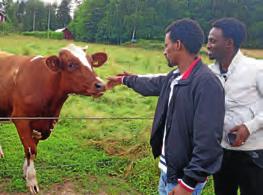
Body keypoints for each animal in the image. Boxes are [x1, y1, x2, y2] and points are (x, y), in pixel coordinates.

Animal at [0, 44, 108, 193]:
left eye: (92, 63)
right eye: (71, 64)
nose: (101, 85)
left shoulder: (41, 126)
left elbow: (31, 149)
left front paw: (25, 173)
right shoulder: (21, 120)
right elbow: (31, 150)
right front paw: (32, 182)